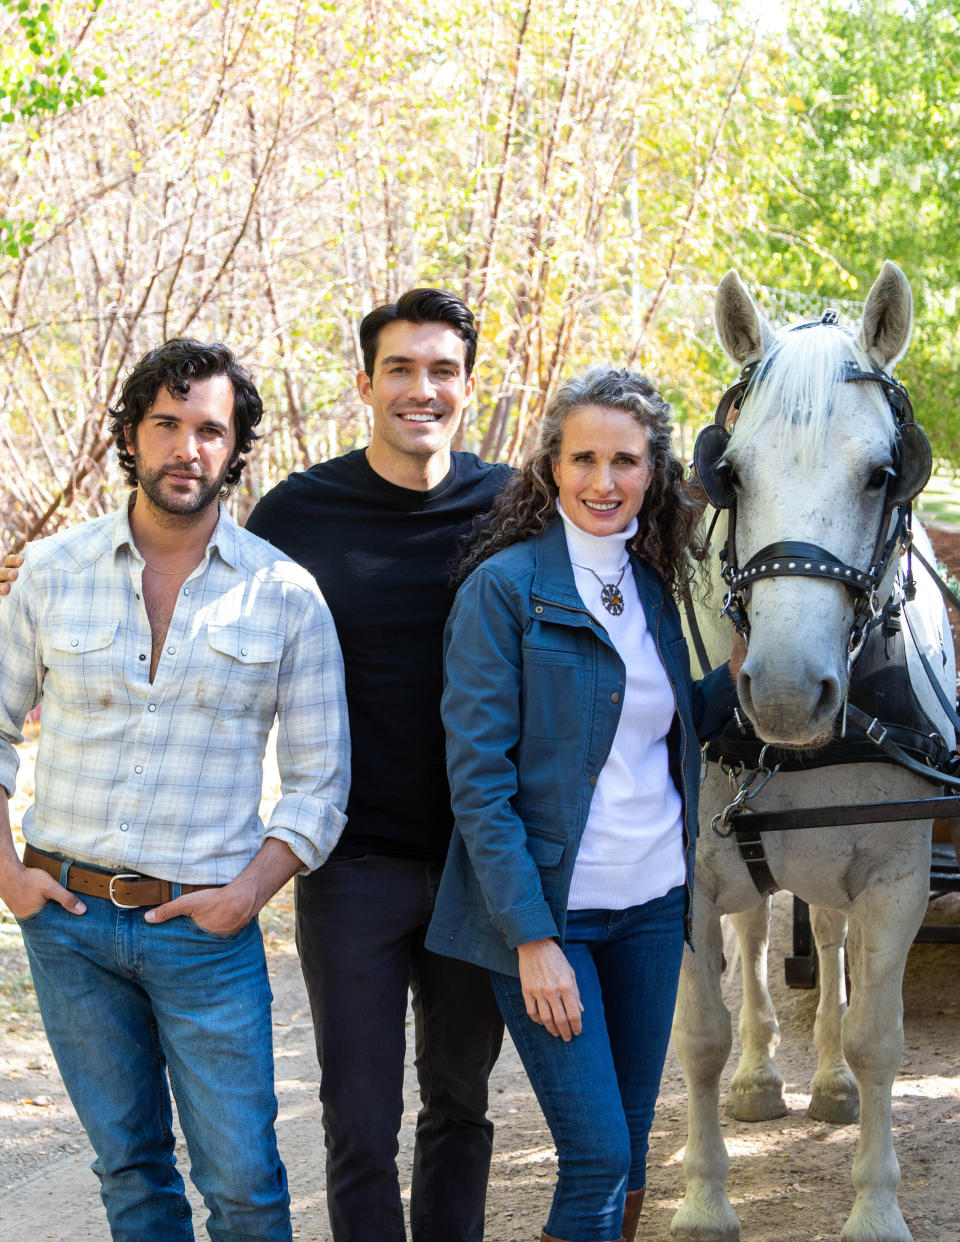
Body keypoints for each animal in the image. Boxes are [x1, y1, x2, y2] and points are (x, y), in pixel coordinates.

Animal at [670, 262, 953, 1242]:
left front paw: (875, 1207)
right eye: (728, 473)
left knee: (825, 942)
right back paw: (754, 1087)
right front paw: (704, 1199)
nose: (789, 694)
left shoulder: (898, 873)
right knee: (755, 938)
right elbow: (701, 1036)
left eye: (883, 474)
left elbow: (878, 1039)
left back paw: (824, 1082)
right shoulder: (685, 879)